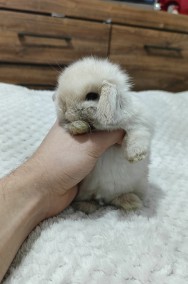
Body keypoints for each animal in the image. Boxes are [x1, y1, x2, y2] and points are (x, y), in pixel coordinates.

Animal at [53, 57, 153, 213]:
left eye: (92, 96)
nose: (65, 110)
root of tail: (104, 196)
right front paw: (78, 127)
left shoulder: (140, 123)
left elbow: (137, 136)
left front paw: (136, 156)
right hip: (85, 191)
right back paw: (87, 207)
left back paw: (132, 203)